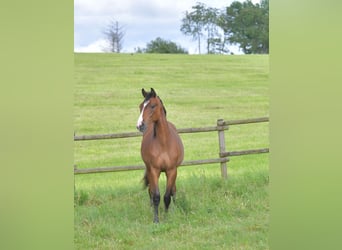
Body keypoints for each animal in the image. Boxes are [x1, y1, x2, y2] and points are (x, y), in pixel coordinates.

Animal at [136, 88, 184, 223]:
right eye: (140, 106)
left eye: (152, 106)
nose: (140, 125)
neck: (163, 143)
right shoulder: (153, 170)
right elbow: (156, 196)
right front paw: (156, 219)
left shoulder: (171, 170)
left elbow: (167, 196)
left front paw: (167, 216)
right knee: (150, 191)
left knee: (173, 190)